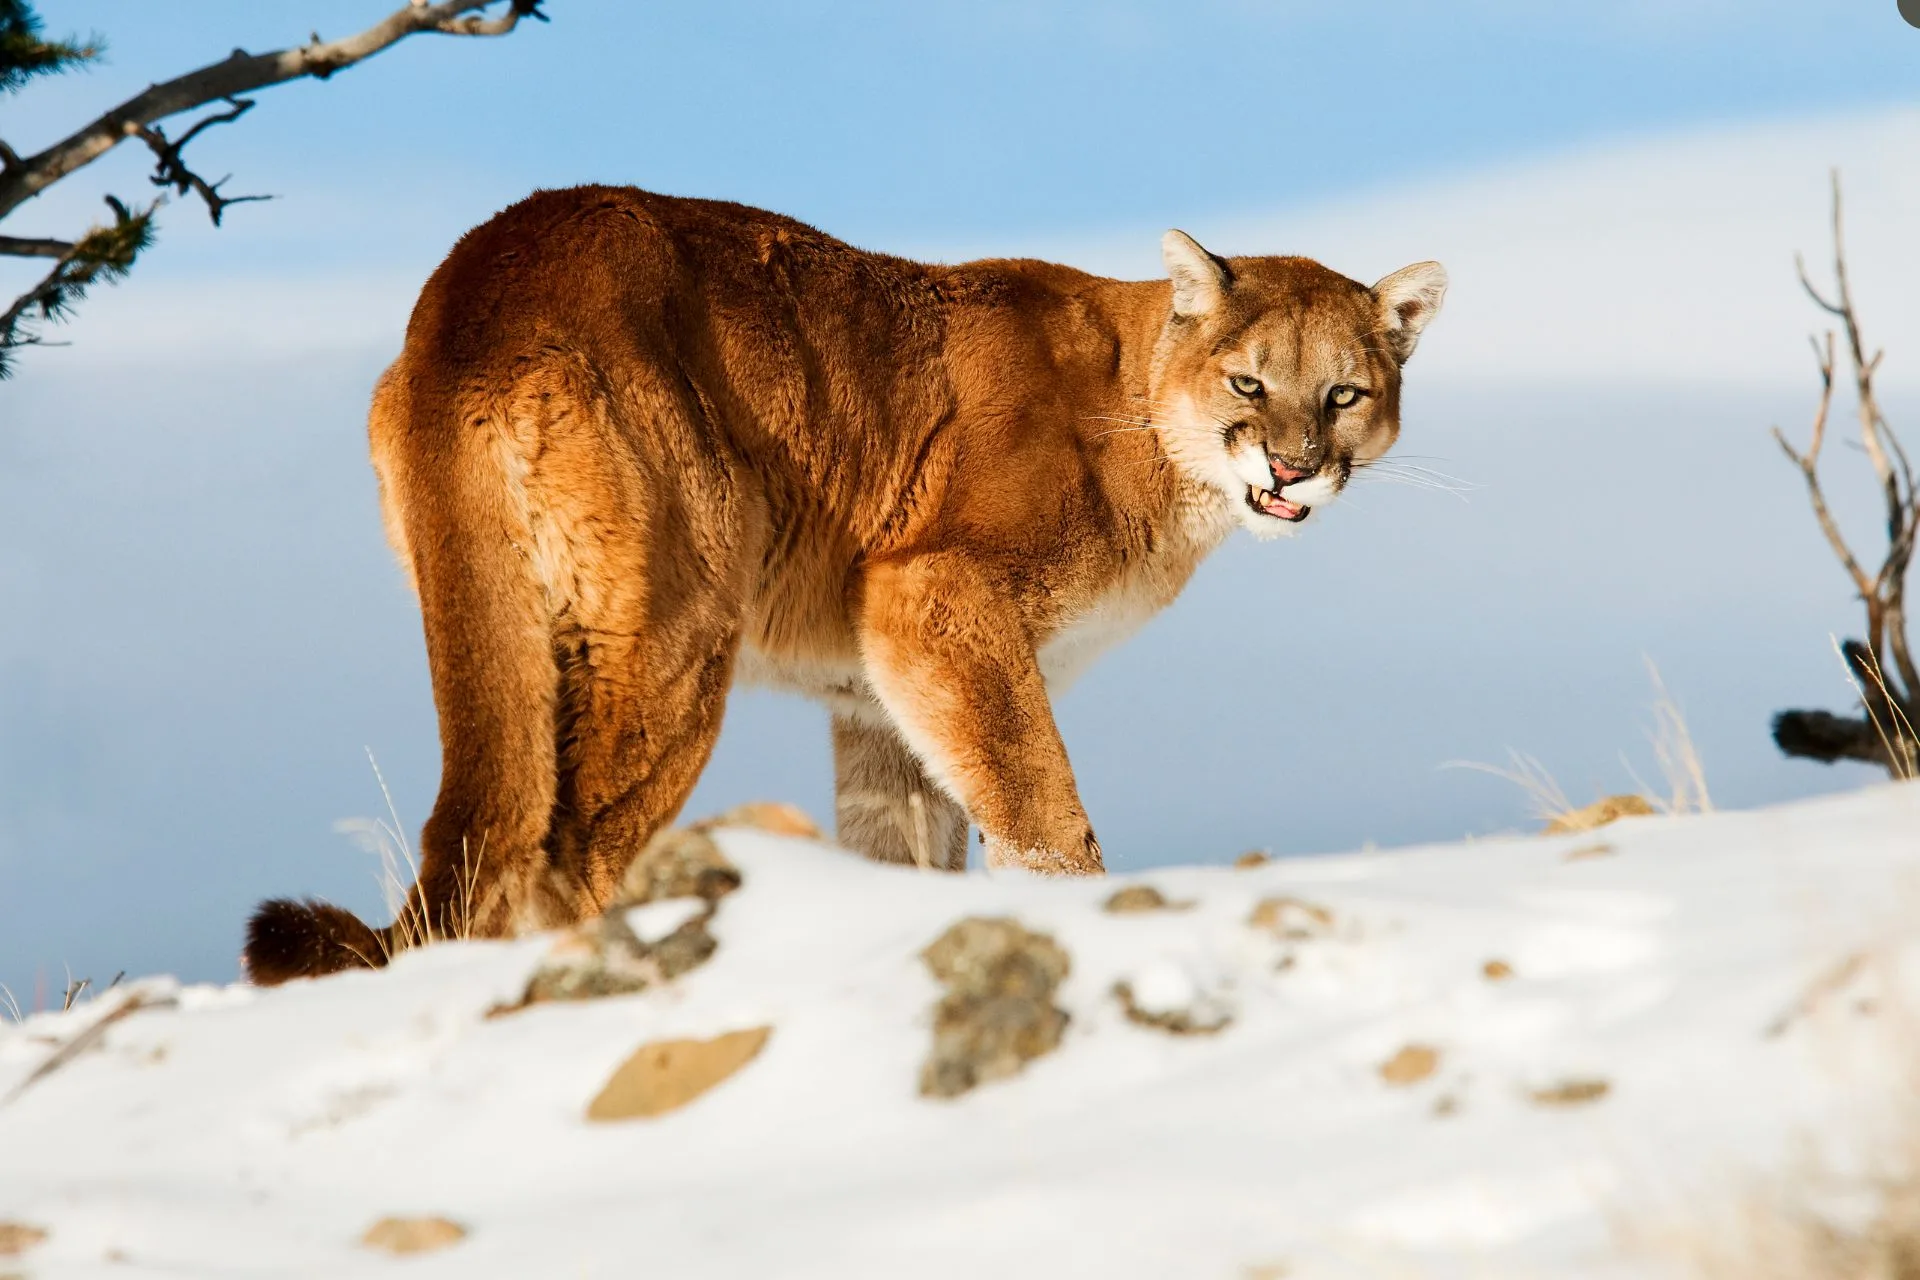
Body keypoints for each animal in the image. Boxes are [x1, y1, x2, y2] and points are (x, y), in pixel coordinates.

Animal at [243, 186, 1445, 983]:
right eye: (1249, 382)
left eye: (1343, 394)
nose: (1292, 465)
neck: (1147, 410)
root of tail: (476, 281)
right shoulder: (935, 596)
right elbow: (1041, 809)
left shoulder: (876, 689)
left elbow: (912, 838)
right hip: (670, 630)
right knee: (569, 847)